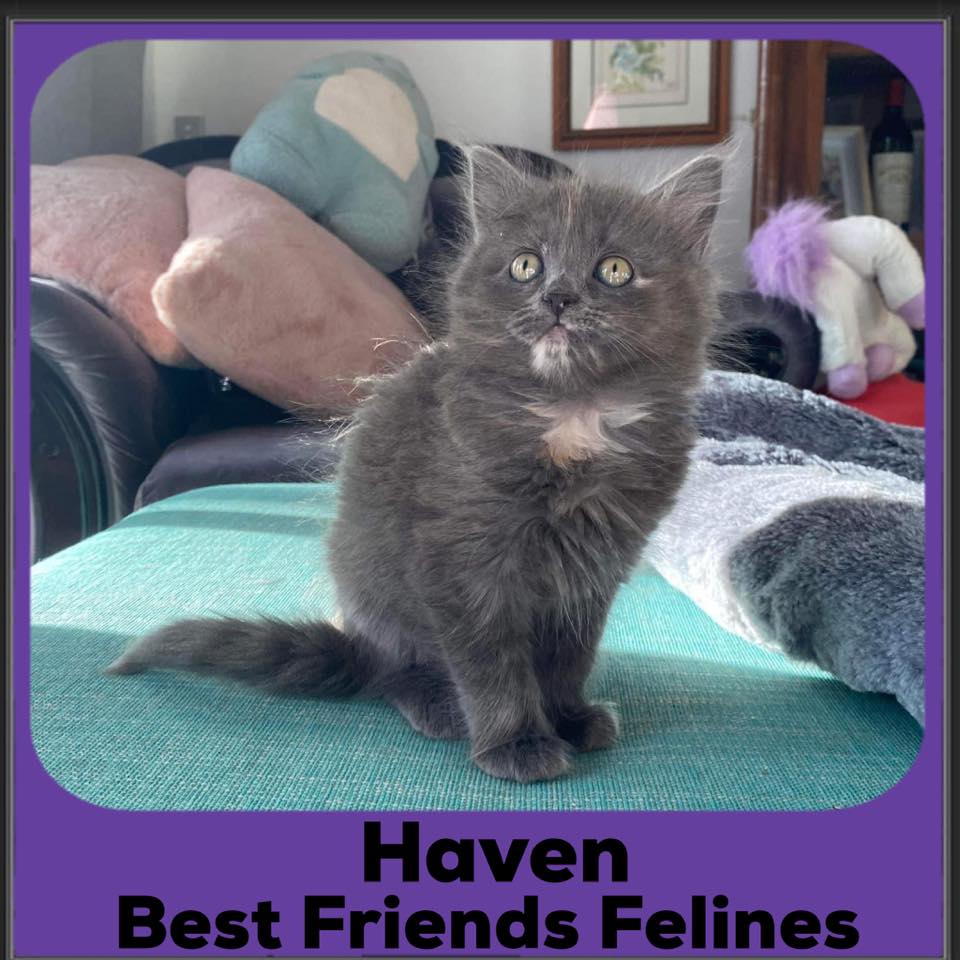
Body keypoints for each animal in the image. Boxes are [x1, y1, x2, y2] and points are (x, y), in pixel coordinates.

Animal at [107, 146, 723, 784]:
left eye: (615, 270)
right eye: (526, 266)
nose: (557, 298)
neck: (571, 414)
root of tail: (356, 642)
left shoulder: (591, 570)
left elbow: (568, 658)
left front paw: (568, 717)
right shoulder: (461, 560)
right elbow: (490, 664)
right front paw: (517, 742)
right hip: (381, 597)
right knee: (394, 674)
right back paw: (438, 705)